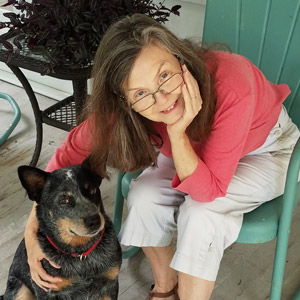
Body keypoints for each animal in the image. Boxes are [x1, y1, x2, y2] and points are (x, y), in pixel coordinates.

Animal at [1, 162, 120, 300]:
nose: (94, 221)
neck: (81, 255)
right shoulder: (45, 292)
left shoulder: (110, 284)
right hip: (21, 291)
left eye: (92, 190)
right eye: (64, 200)